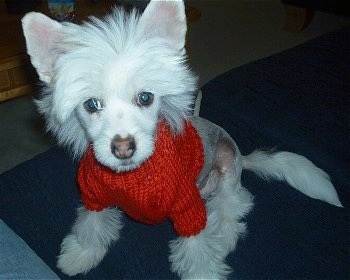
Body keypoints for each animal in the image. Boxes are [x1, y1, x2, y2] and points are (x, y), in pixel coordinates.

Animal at [21, 1, 342, 278]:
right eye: (91, 105)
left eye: (145, 97)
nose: (123, 148)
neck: (132, 177)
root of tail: (241, 157)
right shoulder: (94, 198)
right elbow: (91, 227)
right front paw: (80, 255)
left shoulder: (188, 208)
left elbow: (197, 247)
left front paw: (204, 273)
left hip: (225, 166)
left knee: (231, 207)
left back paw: (221, 240)